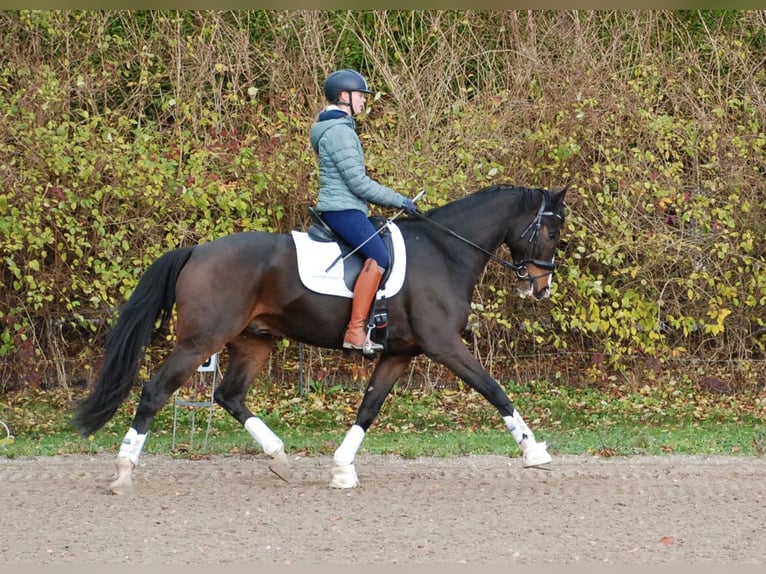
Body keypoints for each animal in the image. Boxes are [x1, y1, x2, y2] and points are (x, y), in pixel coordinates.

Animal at [73, 183, 568, 496]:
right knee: (155, 392)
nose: (541, 287)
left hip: (253, 341)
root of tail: (197, 250)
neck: (445, 252)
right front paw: (534, 450)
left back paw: (278, 457)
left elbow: (369, 407)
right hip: (199, 342)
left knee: (229, 395)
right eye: (552, 230)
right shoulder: (445, 345)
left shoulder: (399, 354)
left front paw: (342, 469)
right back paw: (123, 472)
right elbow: (494, 389)